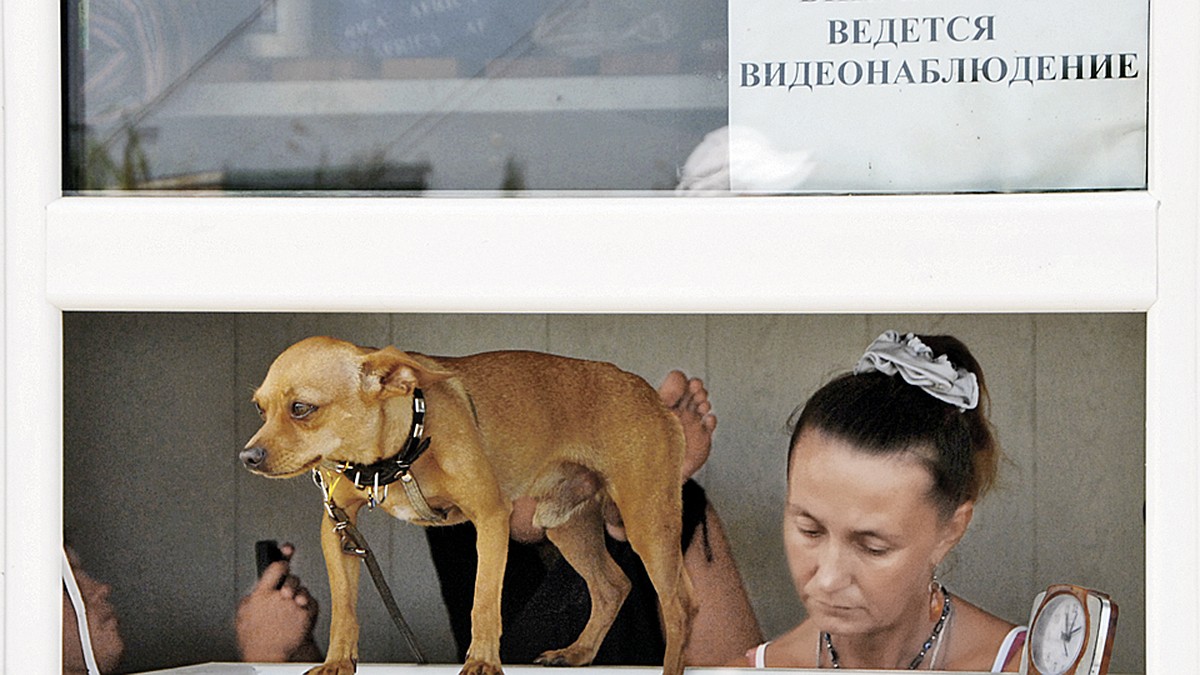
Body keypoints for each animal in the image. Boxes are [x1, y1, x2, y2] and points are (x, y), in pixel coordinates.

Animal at [241, 333, 696, 672]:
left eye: (302, 408)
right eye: (260, 409)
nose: (247, 457)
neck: (398, 456)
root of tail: (648, 393)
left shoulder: (491, 519)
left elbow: (484, 602)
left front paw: (482, 662)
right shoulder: (338, 529)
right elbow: (344, 609)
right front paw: (338, 663)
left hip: (647, 522)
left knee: (679, 605)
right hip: (567, 526)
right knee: (612, 586)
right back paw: (577, 652)